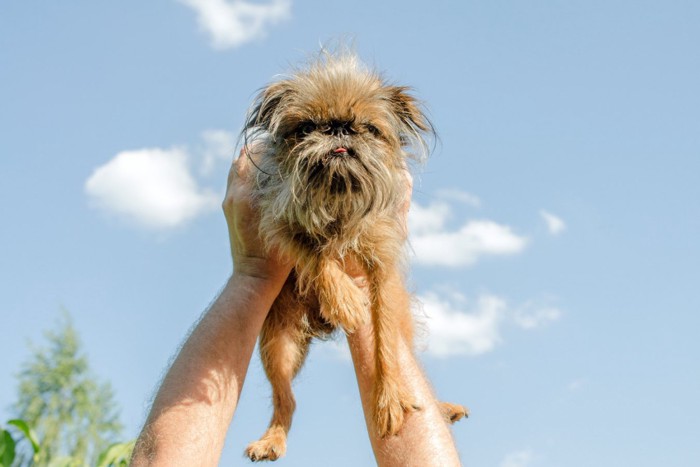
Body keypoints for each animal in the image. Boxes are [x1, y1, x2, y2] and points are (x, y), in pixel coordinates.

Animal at [239, 50, 464, 460]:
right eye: (306, 127)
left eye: (369, 128)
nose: (339, 128)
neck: (338, 196)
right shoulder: (279, 223)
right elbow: (315, 249)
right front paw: (343, 297)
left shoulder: (383, 268)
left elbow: (385, 342)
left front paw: (388, 398)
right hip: (277, 342)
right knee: (286, 399)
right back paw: (271, 439)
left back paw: (441, 408)